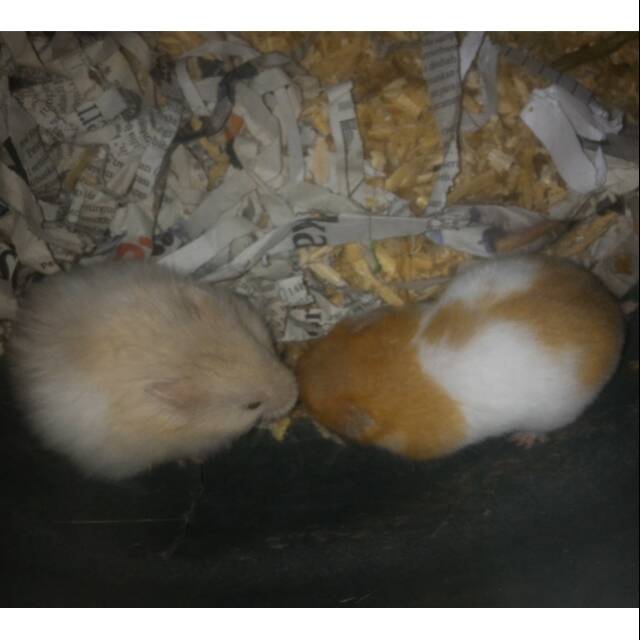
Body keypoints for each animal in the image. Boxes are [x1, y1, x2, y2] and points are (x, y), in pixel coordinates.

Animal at [297, 255, 624, 460]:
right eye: (323, 341)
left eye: (313, 407)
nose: (297, 365)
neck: (387, 372)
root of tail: (611, 311)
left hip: (554, 413)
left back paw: (523, 440)